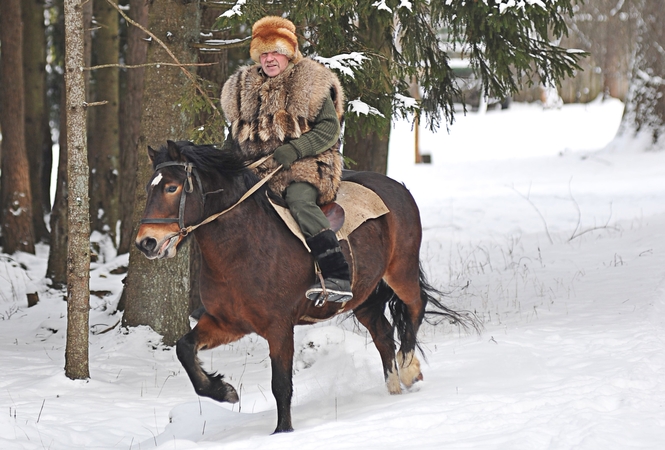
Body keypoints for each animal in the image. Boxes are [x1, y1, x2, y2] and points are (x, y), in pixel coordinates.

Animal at [135, 142, 472, 436]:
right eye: (150, 187)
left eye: (171, 187)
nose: (146, 242)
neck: (245, 246)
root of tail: (397, 187)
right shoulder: (227, 323)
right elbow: (184, 349)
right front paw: (224, 390)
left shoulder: (279, 327)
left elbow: (281, 385)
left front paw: (283, 432)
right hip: (365, 296)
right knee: (384, 335)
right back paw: (392, 388)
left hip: (400, 271)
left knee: (414, 309)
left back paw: (408, 369)